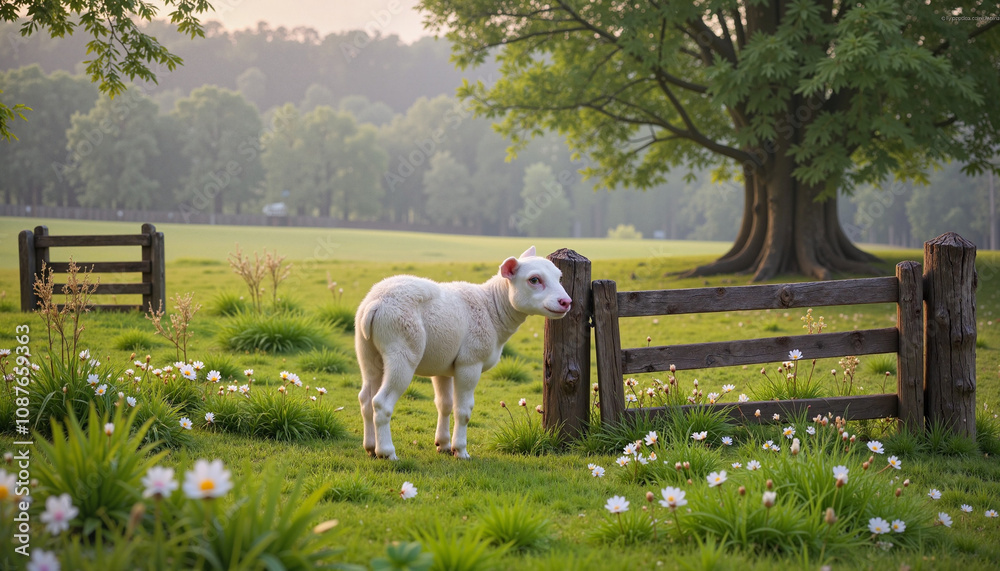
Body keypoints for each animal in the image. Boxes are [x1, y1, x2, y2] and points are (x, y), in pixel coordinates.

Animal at [354, 246, 572, 460]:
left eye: (560, 277)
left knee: (365, 399)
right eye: (534, 280)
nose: (566, 302)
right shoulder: (470, 362)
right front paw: (460, 450)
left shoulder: (442, 366)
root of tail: (375, 304)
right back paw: (387, 452)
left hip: (367, 352)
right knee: (381, 403)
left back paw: (370, 447)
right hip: (402, 350)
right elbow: (463, 410)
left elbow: (445, 404)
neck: (492, 310)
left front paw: (443, 444)